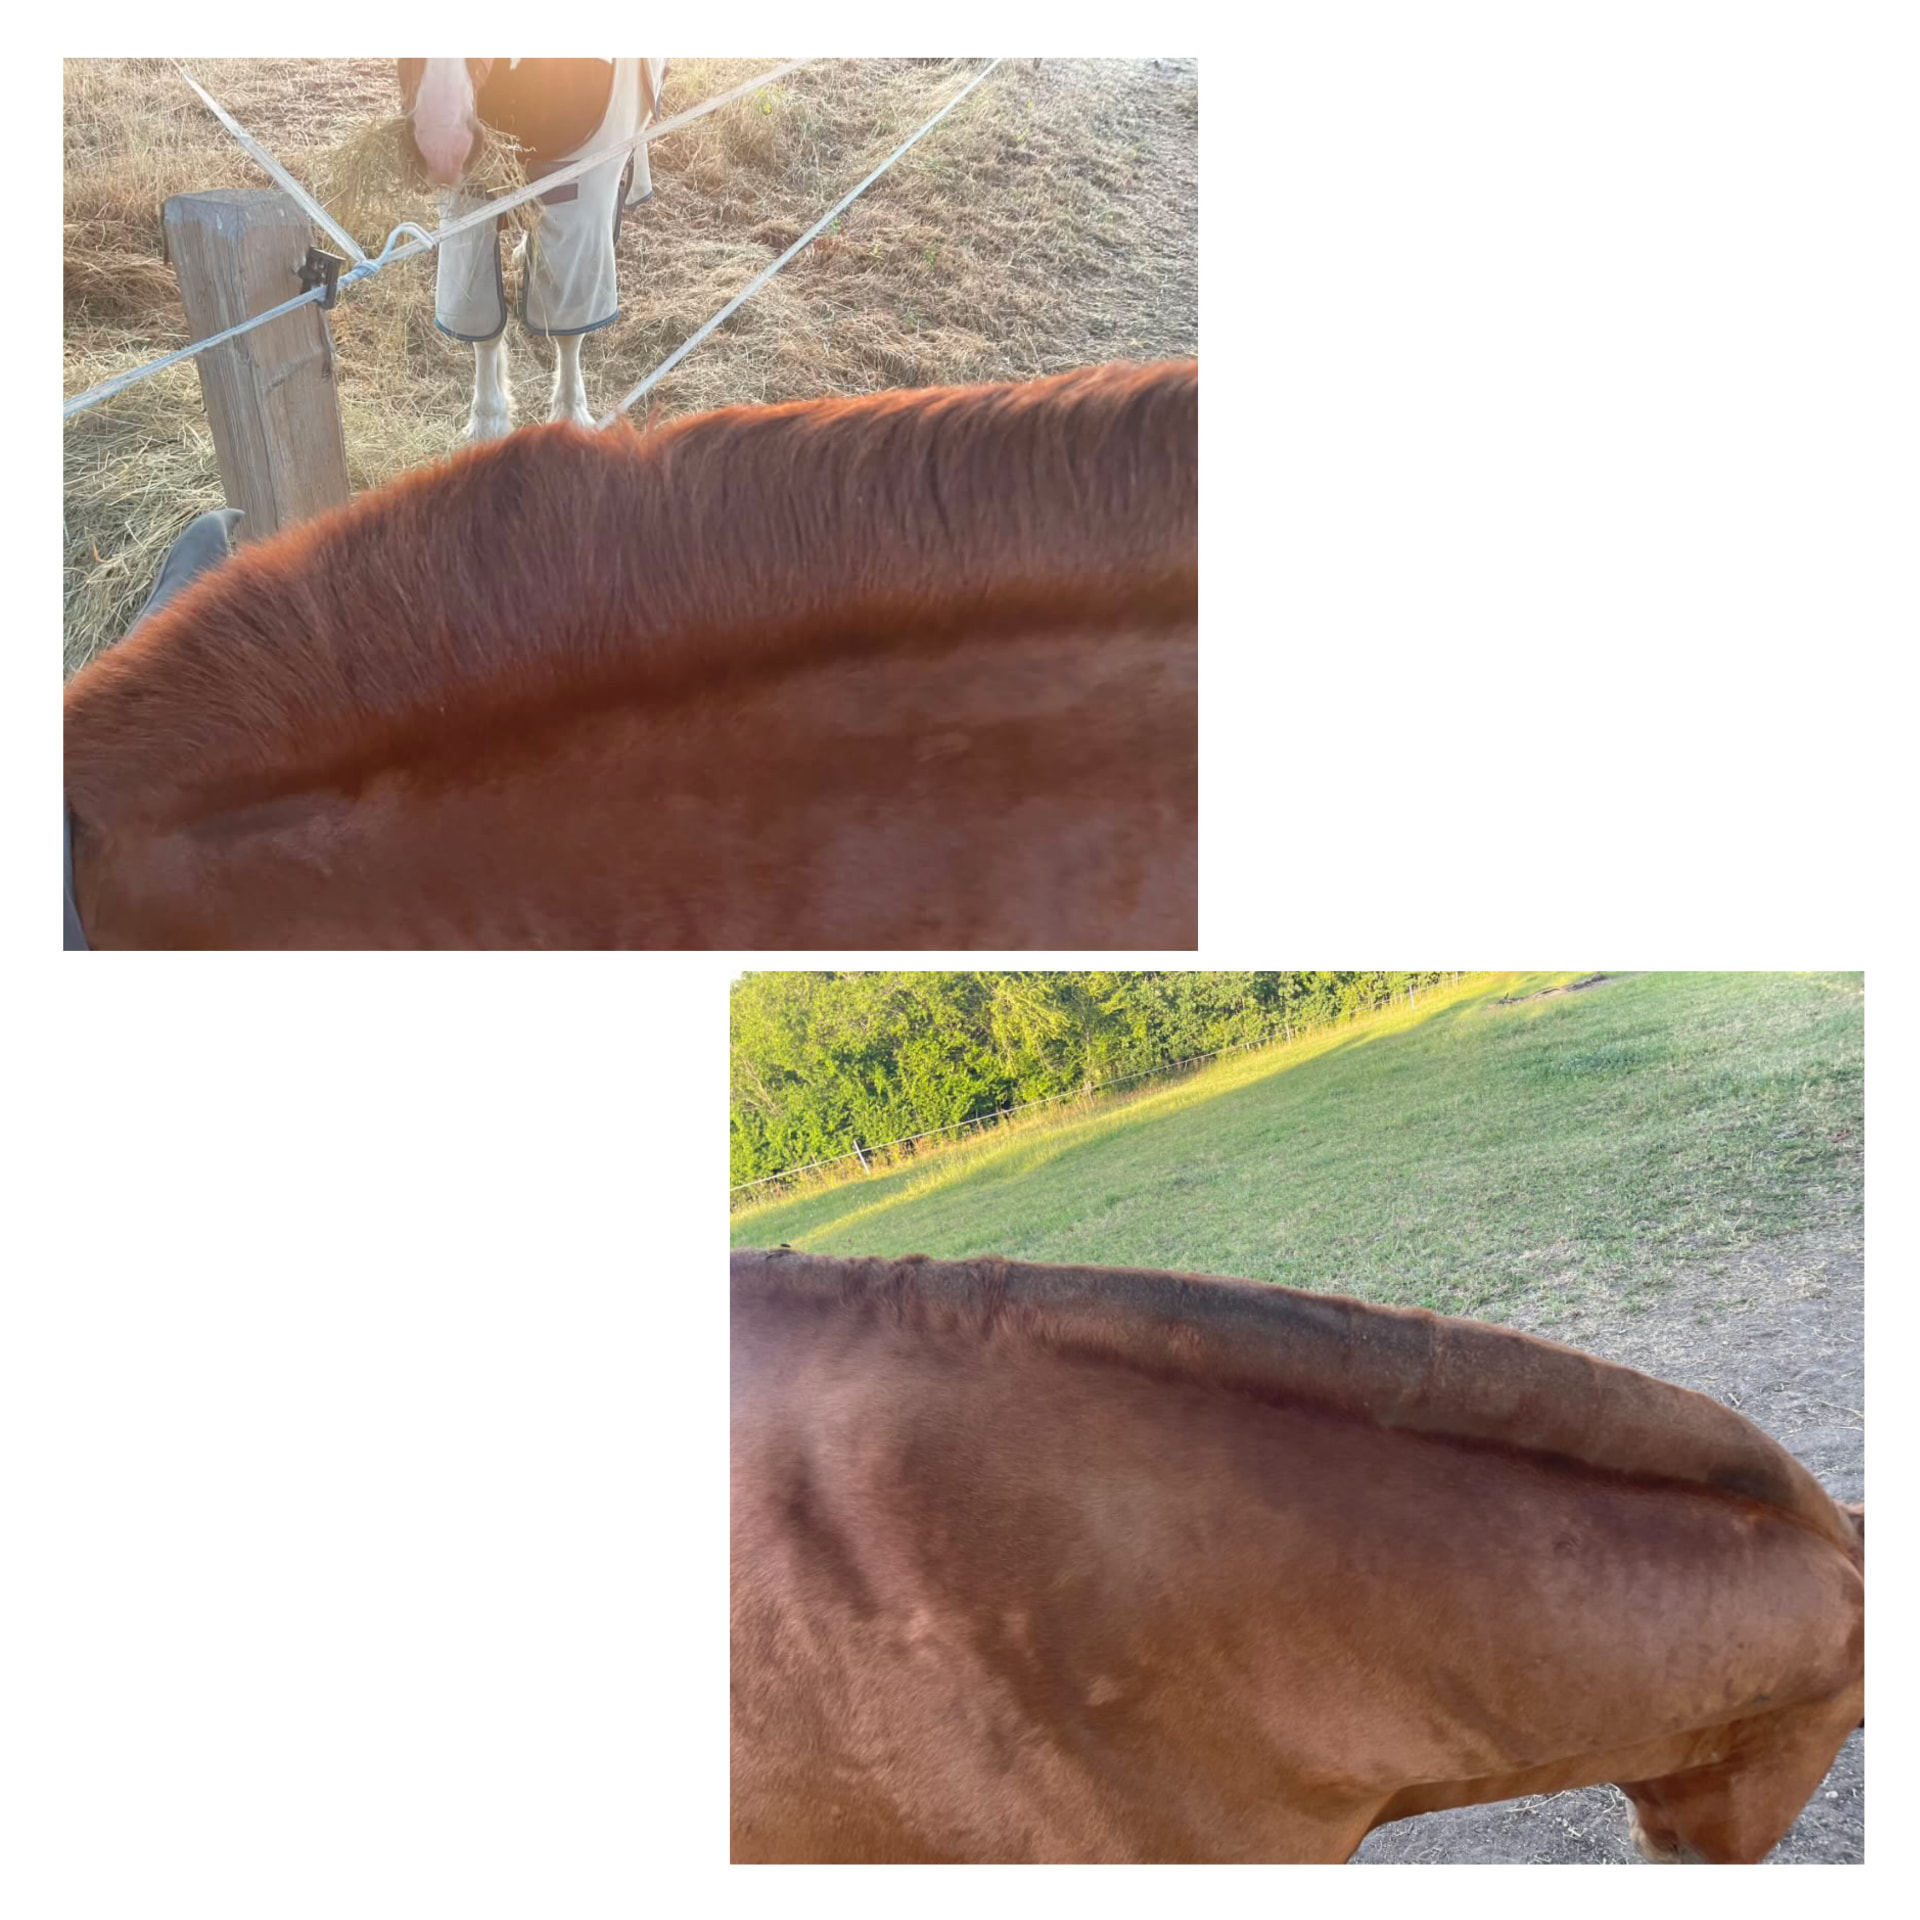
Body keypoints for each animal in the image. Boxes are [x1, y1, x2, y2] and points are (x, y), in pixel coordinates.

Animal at [398, 58, 668, 439]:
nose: (443, 150)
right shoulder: (468, 214)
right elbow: (483, 325)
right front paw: (487, 424)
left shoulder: (580, 214)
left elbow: (569, 332)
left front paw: (570, 416)